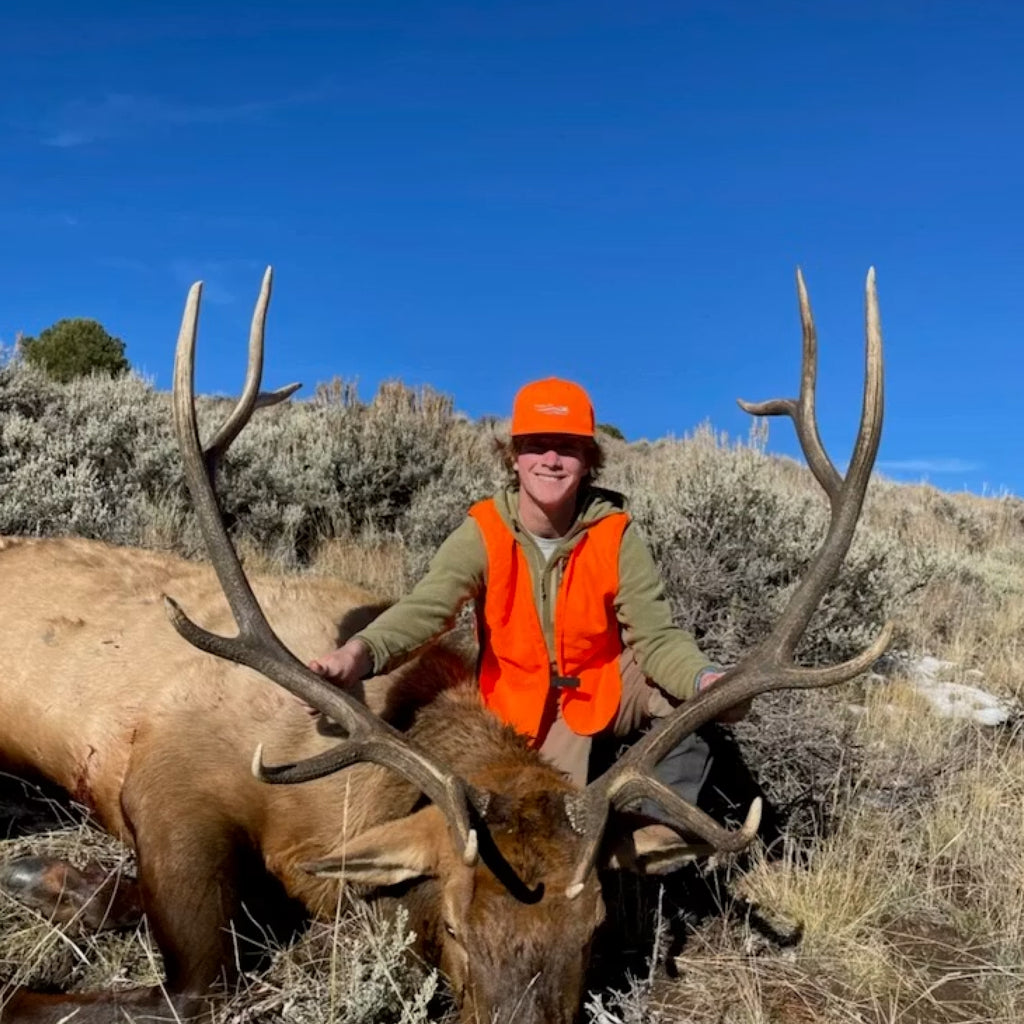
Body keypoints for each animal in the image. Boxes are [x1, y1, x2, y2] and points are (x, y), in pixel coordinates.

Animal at [0, 267, 890, 1023]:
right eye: (455, 923)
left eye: (596, 929)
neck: (331, 803)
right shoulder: (171, 777)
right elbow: (199, 985)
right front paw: (31, 945)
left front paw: (56, 882)